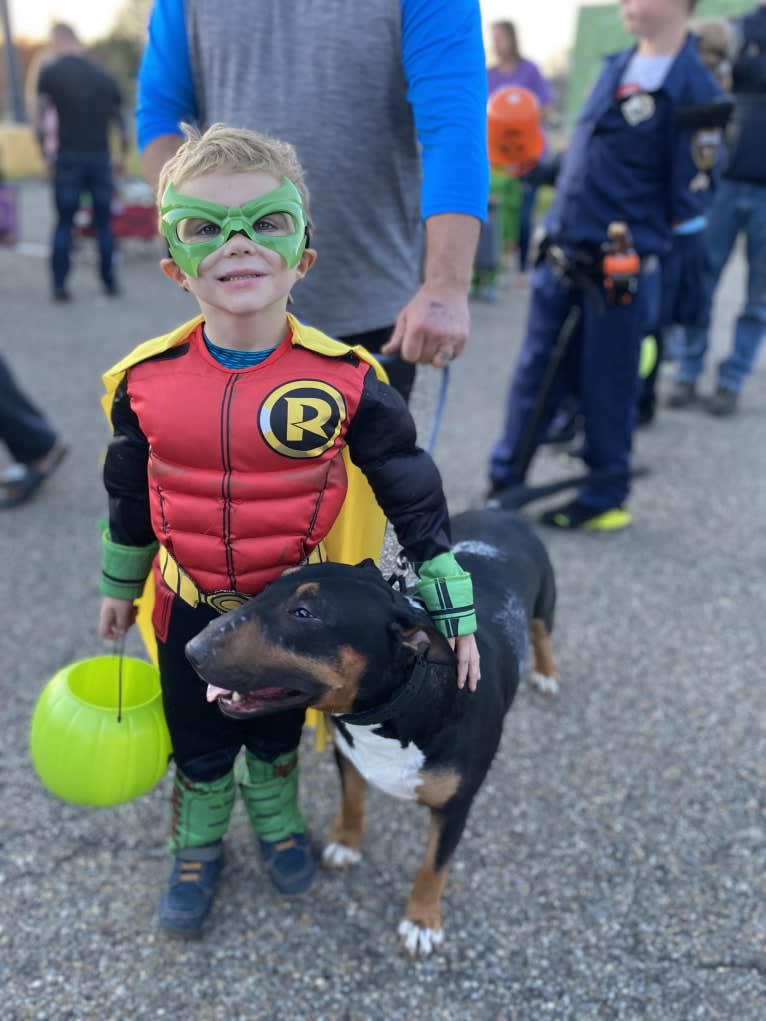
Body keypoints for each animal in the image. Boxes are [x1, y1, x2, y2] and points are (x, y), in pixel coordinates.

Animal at [185, 510, 559, 955]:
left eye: (304, 613)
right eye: (271, 585)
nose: (191, 650)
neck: (404, 698)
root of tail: (501, 511)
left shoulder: (456, 806)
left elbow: (434, 864)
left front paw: (421, 921)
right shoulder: (349, 755)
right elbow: (352, 799)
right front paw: (346, 844)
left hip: (545, 603)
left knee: (543, 634)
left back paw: (547, 674)